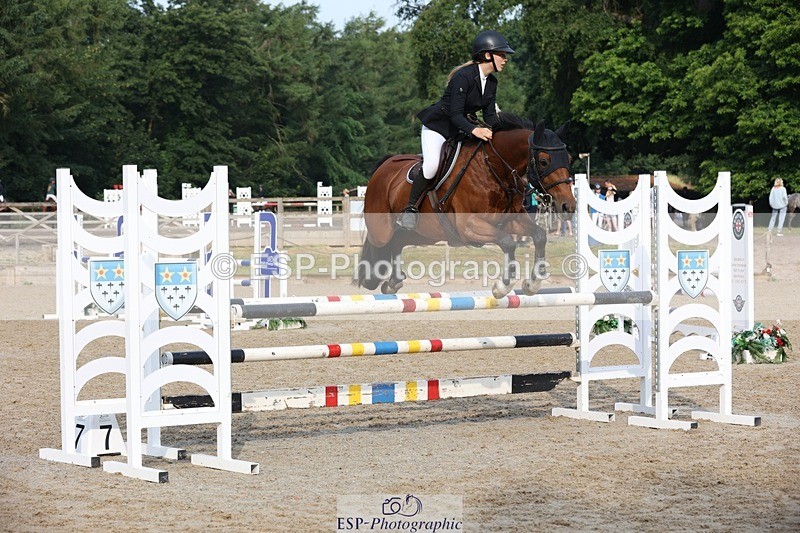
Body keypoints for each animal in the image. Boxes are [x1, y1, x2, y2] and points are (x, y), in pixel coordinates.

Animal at [355, 113, 575, 298]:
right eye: (544, 161)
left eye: (569, 158)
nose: (569, 206)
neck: (494, 168)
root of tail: (383, 167)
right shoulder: (469, 226)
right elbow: (508, 242)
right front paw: (502, 286)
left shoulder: (509, 220)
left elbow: (539, 235)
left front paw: (532, 284)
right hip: (382, 230)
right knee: (378, 244)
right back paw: (370, 278)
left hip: (424, 234)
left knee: (397, 242)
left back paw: (393, 282)